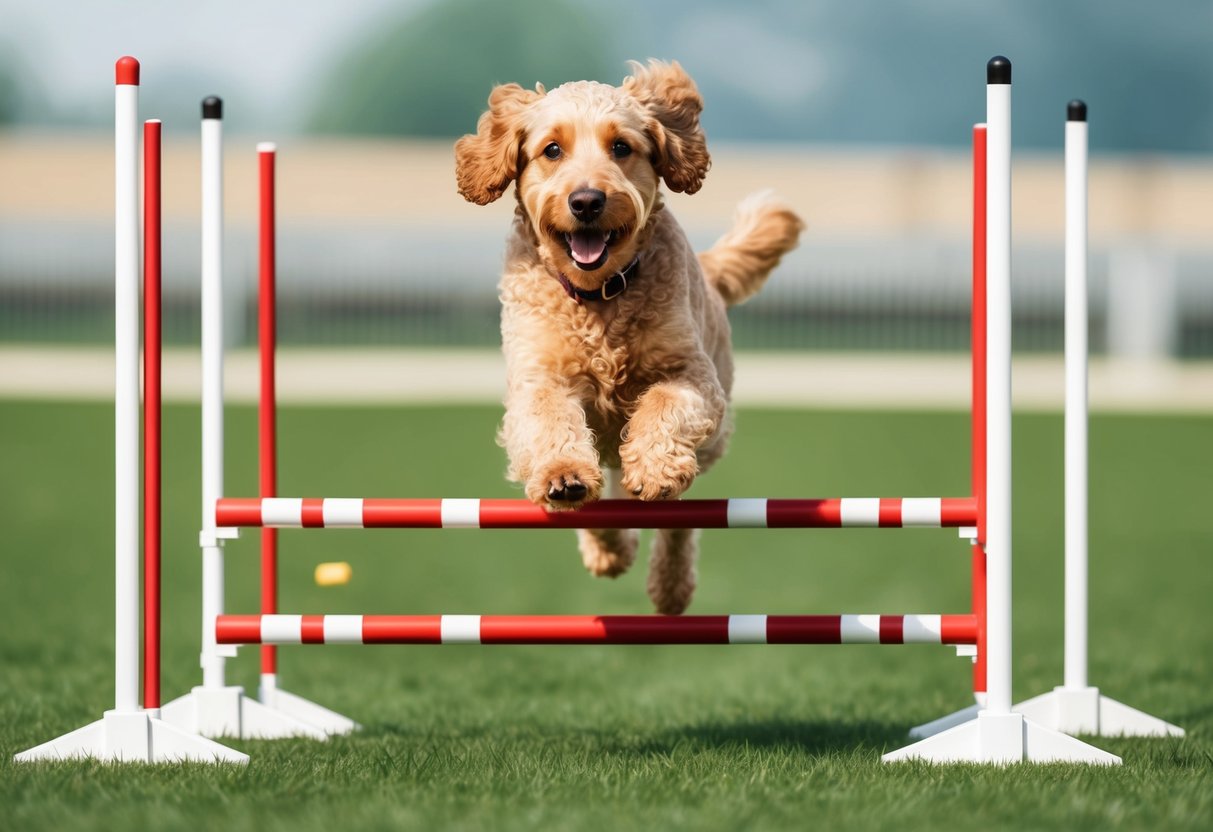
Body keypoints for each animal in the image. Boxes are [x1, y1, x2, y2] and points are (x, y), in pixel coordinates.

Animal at [456, 58, 805, 616]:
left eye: (621, 146)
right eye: (551, 150)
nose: (586, 201)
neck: (598, 296)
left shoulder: (691, 374)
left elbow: (664, 406)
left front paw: (657, 469)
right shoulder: (540, 377)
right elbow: (549, 423)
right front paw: (563, 477)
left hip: (710, 435)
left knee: (679, 515)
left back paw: (669, 582)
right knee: (605, 494)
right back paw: (606, 543)